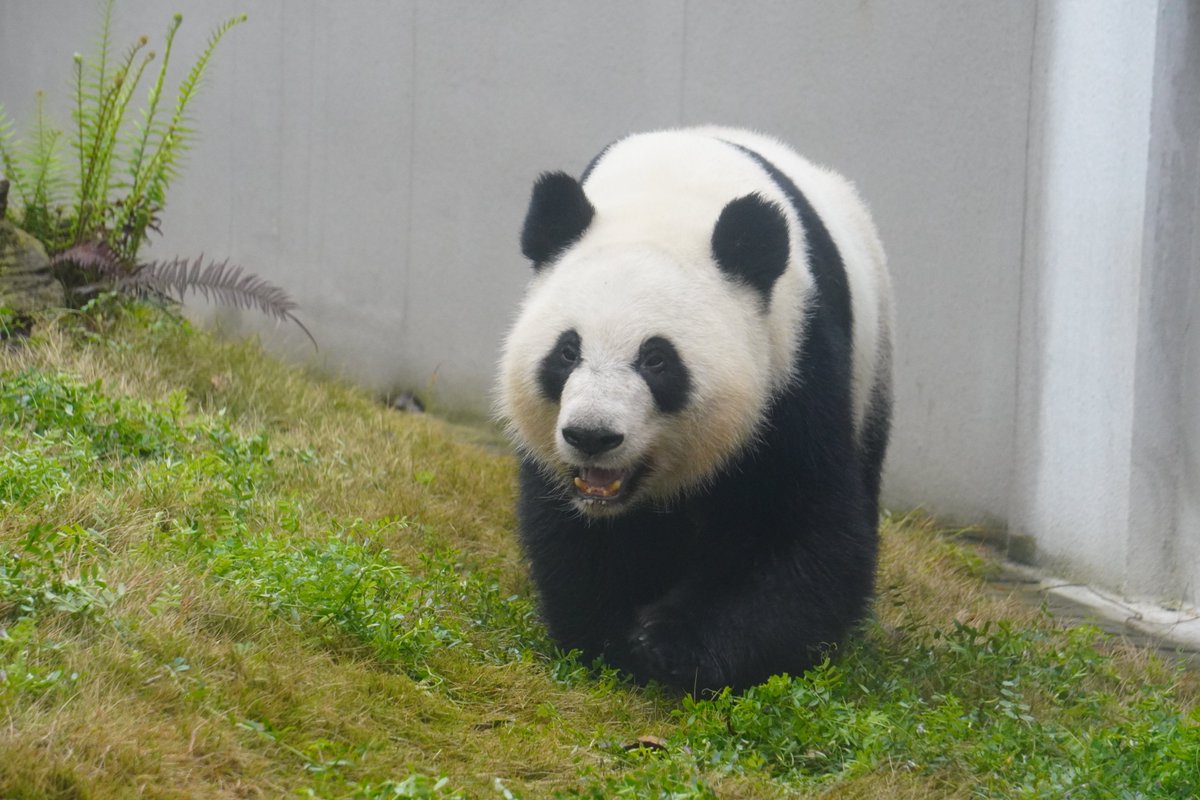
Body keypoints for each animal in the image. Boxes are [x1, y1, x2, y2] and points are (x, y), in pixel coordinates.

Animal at [496, 126, 893, 693]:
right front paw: (611, 639)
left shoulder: (794, 364)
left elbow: (795, 530)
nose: (593, 436)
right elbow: (576, 538)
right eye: (567, 351)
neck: (669, 201)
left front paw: (674, 646)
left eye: (657, 360)